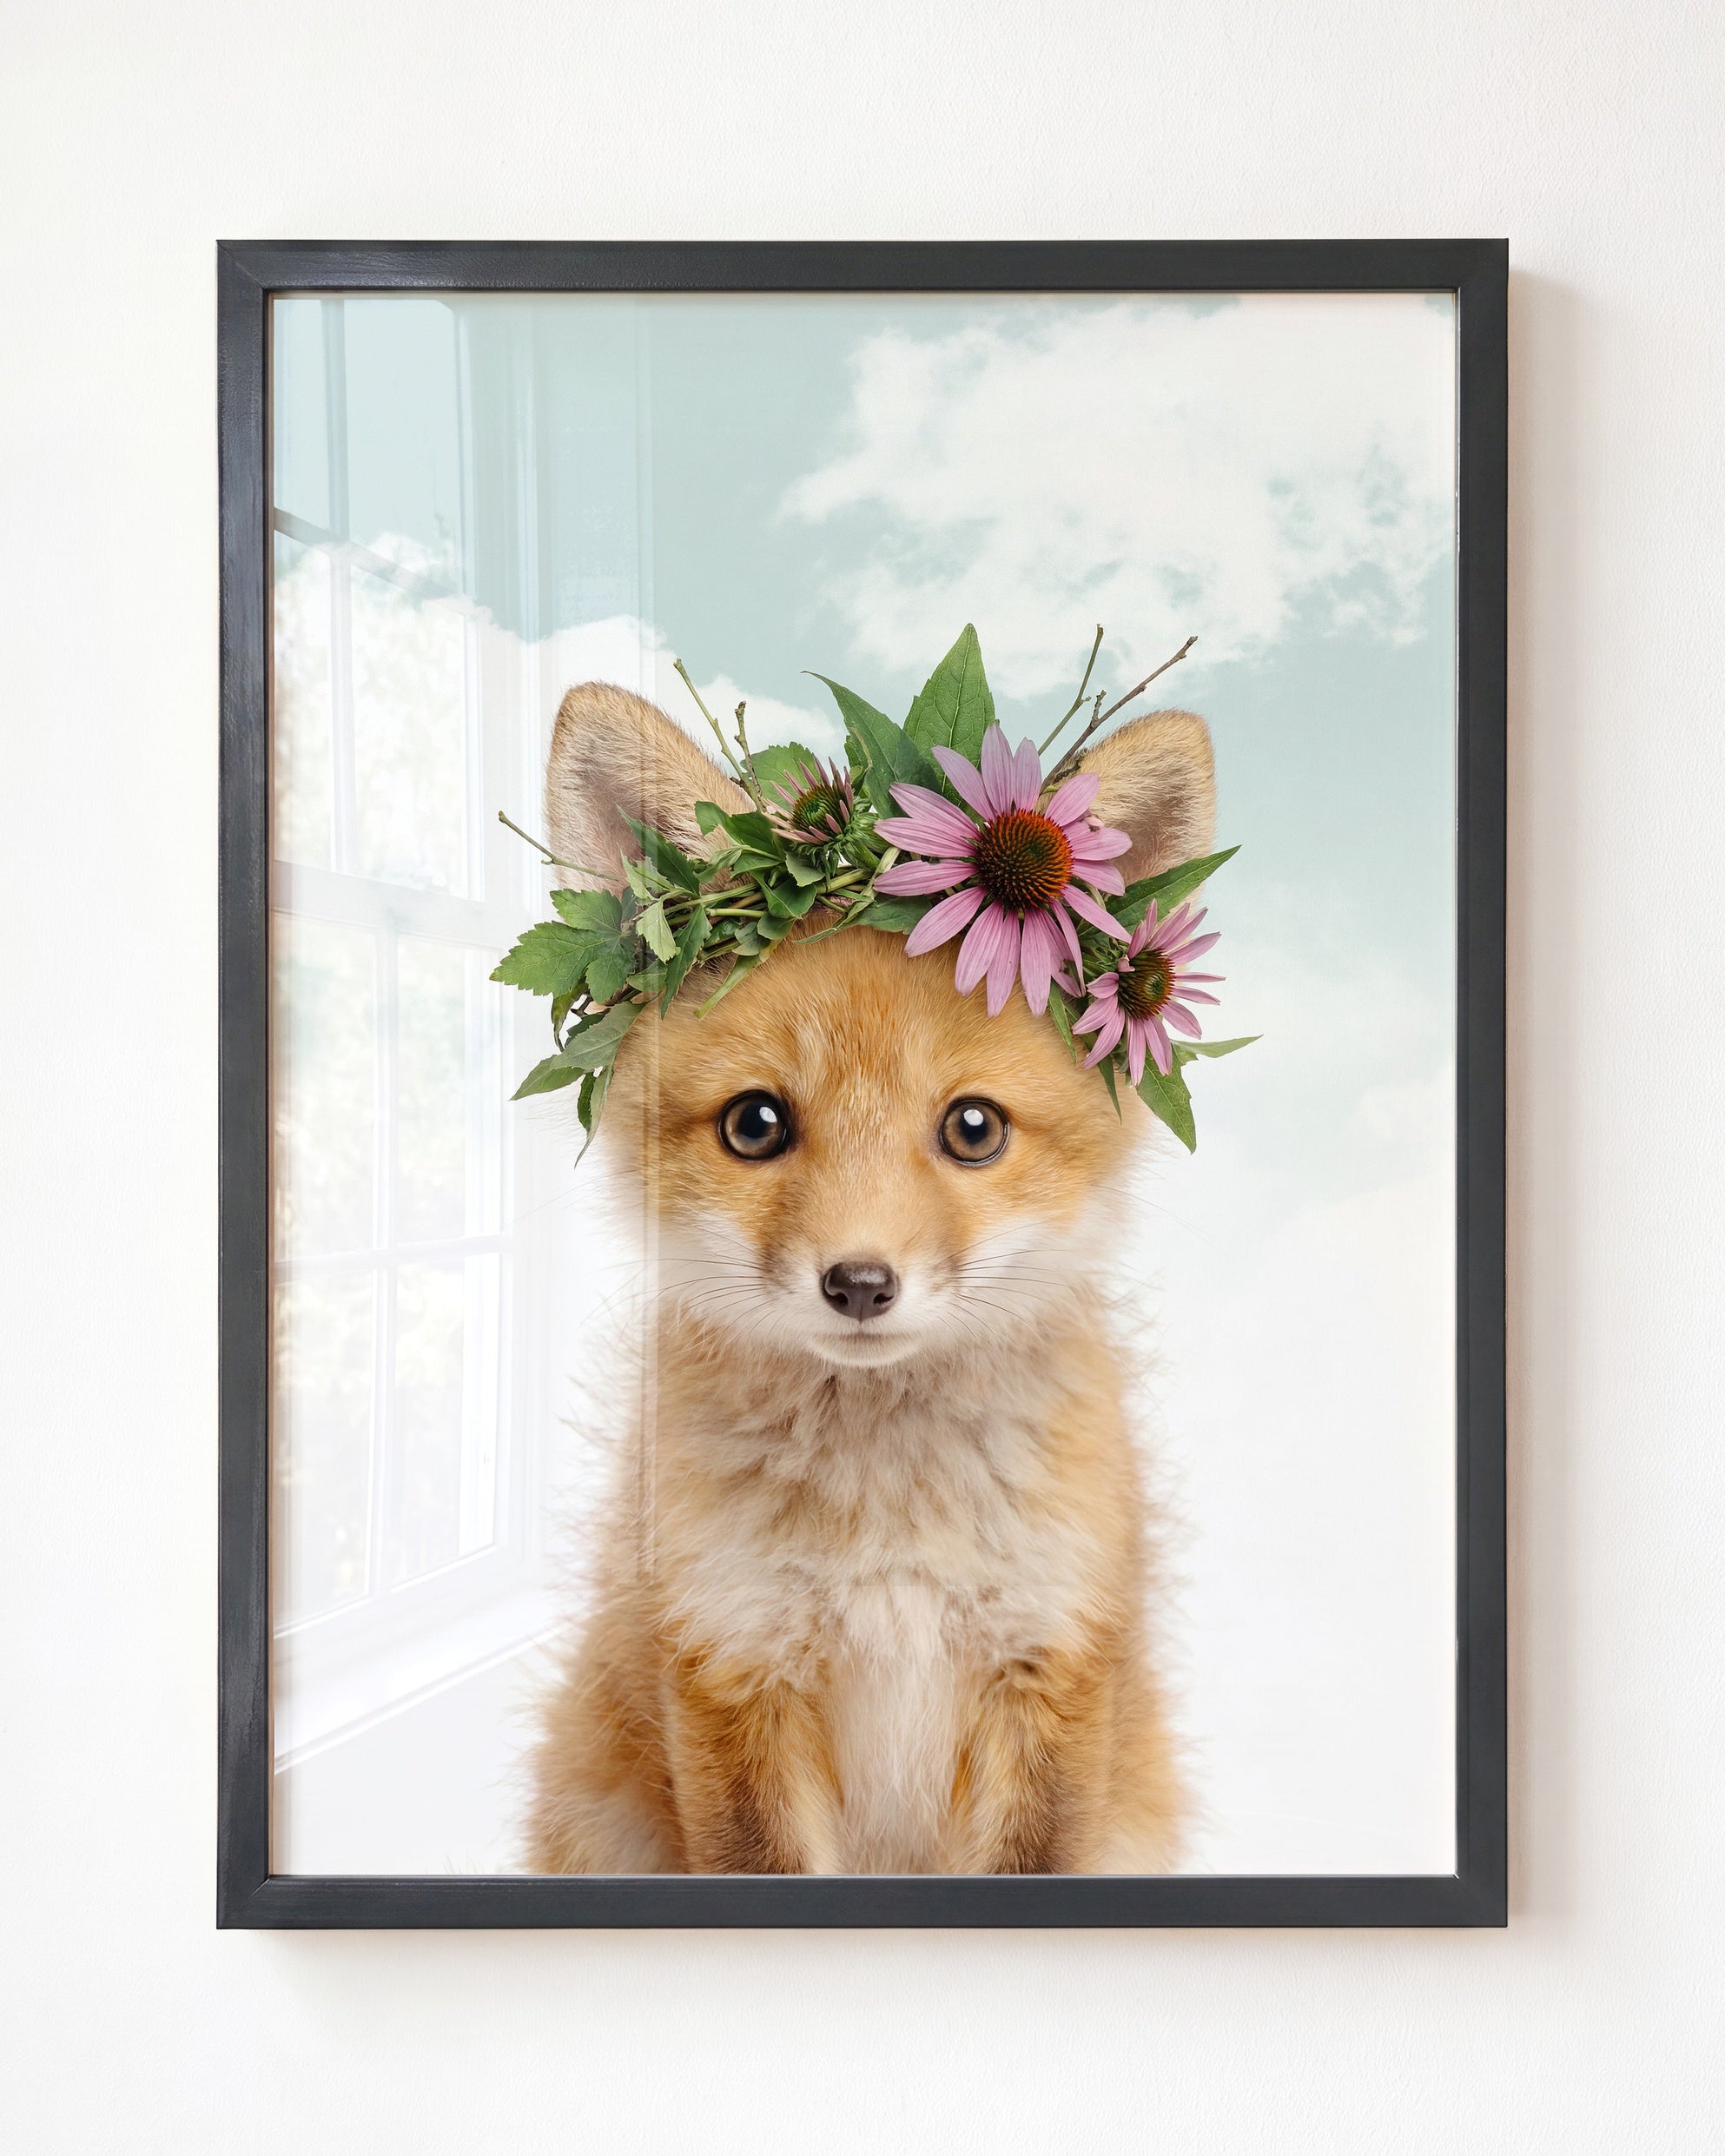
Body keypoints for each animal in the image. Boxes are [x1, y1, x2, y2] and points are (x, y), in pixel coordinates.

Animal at [522, 679, 1218, 1875]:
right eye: (755, 1124)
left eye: (974, 1129)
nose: (858, 1283)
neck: (888, 1531)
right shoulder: (732, 1662)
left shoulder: (1048, 1665)